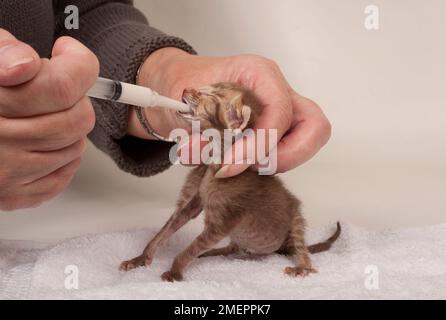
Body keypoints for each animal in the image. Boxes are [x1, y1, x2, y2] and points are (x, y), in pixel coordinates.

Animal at [120, 83, 340, 282]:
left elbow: (190, 249)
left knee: (300, 245)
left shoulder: (224, 222)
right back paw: (214, 253)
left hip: (294, 218)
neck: (216, 164)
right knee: (232, 248)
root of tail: (282, 247)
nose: (186, 89)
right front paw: (142, 257)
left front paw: (174, 271)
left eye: (210, 95)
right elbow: (170, 226)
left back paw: (302, 267)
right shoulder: (196, 201)